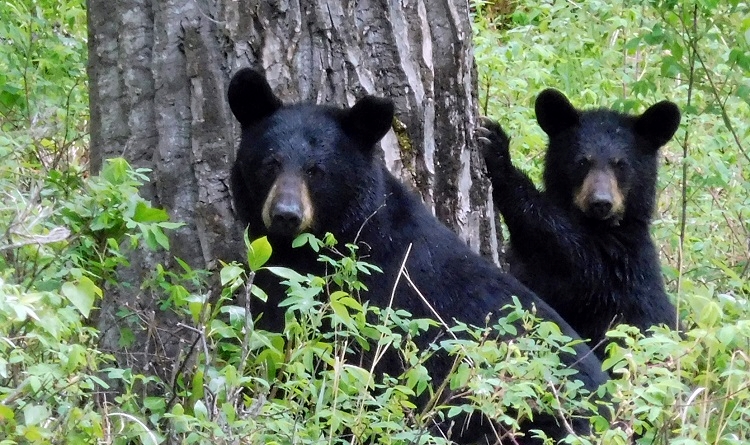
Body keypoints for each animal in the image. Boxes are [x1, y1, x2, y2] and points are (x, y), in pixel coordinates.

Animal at [478, 88, 684, 360]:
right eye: (582, 162)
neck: (600, 226)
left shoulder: (616, 263)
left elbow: (564, 246)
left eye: (621, 164)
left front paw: (498, 151)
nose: (601, 202)